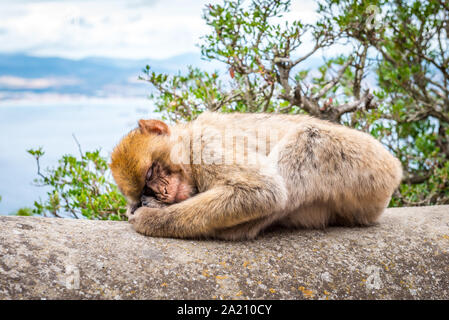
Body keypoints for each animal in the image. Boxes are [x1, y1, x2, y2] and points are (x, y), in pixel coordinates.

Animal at [109, 111, 402, 239]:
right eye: (145, 188)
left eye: (150, 172)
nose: (161, 192)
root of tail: (395, 166)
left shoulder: (207, 146)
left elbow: (263, 190)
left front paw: (150, 218)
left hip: (368, 167)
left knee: (306, 139)